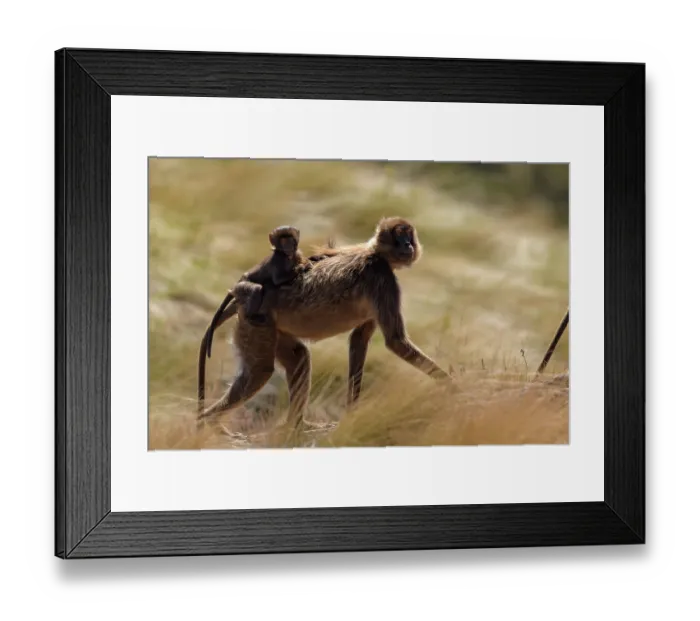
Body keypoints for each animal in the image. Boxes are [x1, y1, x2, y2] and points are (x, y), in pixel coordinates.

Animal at [197, 217, 451, 427]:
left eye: (409, 236)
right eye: (400, 237)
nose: (409, 245)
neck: (374, 253)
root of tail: (240, 295)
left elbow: (359, 341)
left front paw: (351, 412)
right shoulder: (382, 279)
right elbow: (396, 341)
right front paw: (455, 386)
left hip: (267, 328)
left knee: (298, 358)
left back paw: (295, 427)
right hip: (255, 324)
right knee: (261, 371)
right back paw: (207, 423)